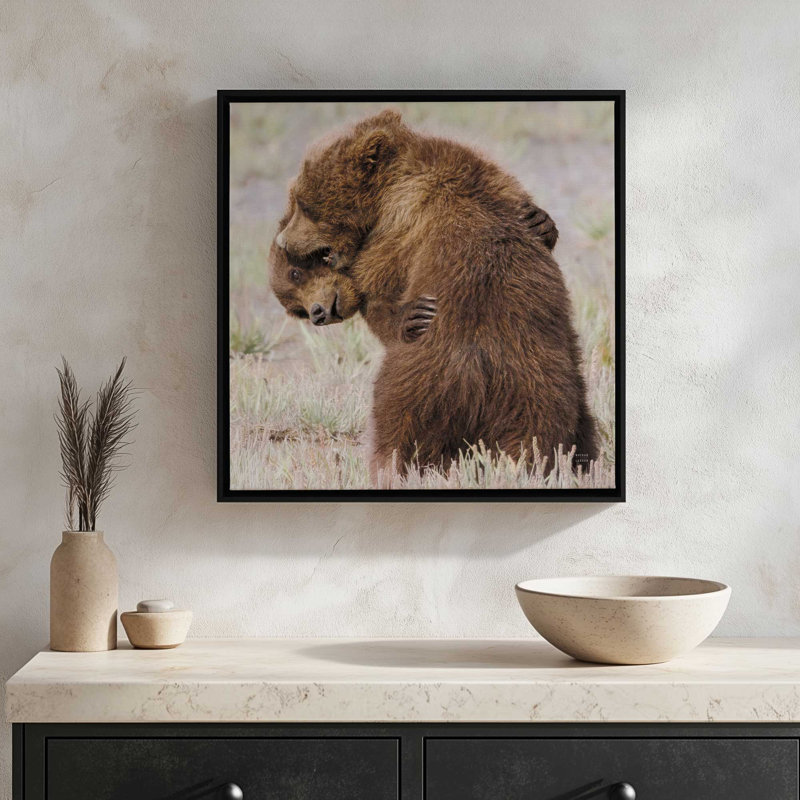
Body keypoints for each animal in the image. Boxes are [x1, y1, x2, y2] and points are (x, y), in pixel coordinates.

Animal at [271, 109, 597, 481]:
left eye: (304, 203)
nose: (283, 240)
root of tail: (480, 371)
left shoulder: (395, 232)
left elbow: (382, 286)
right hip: (544, 386)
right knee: (545, 434)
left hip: (422, 382)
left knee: (395, 424)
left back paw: (389, 467)